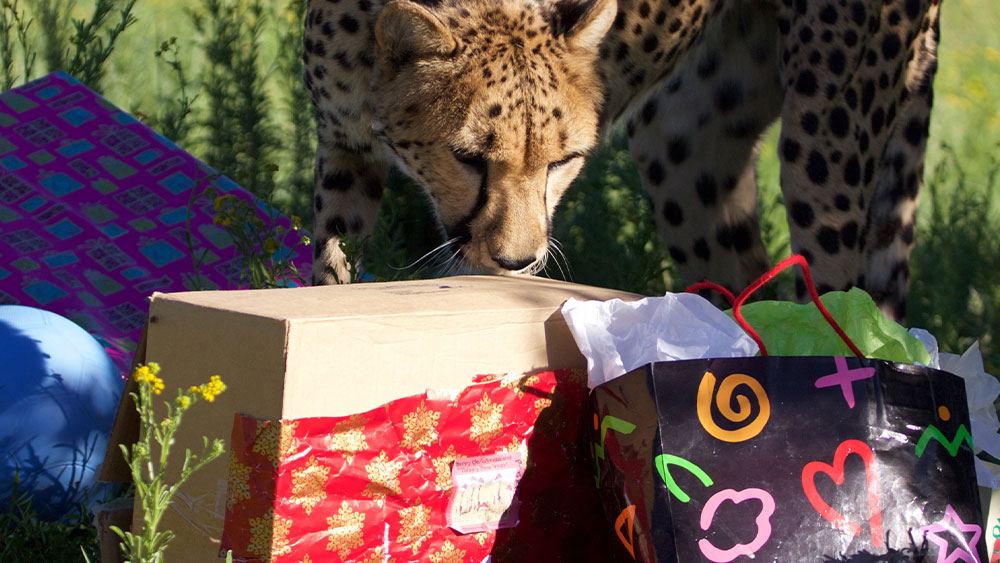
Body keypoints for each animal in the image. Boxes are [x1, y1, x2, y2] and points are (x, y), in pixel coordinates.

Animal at [303, 0, 940, 321]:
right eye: (467, 157)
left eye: (563, 161)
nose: (518, 261)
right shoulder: (343, 149)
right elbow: (330, 271)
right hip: (680, 151)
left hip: (825, 138)